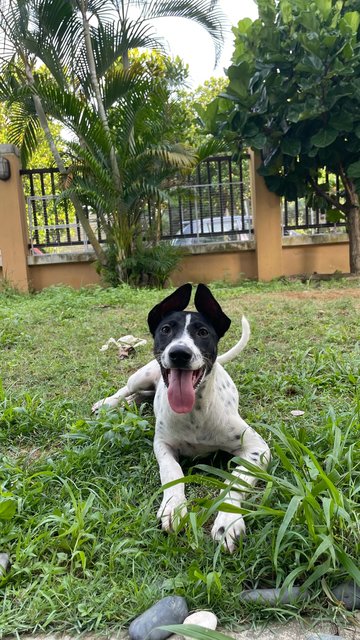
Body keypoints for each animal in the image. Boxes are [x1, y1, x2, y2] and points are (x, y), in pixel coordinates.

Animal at [93, 282, 270, 552]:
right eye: (166, 329)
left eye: (203, 333)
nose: (179, 353)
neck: (195, 412)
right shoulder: (162, 444)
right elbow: (172, 471)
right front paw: (174, 507)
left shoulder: (257, 448)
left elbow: (236, 480)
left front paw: (227, 520)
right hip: (142, 375)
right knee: (128, 387)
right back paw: (110, 402)